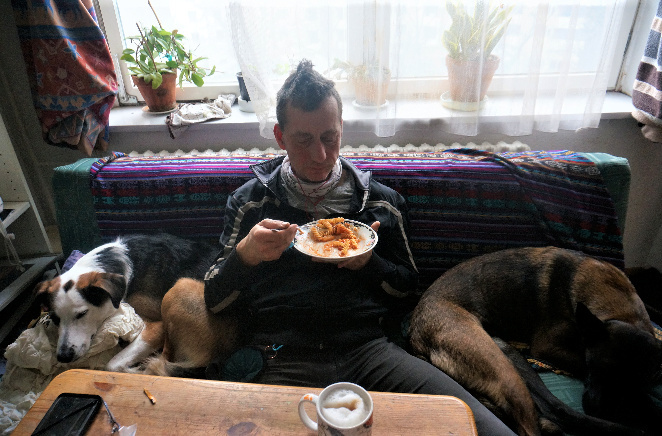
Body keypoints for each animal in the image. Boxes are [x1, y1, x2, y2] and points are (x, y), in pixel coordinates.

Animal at [410, 247, 662, 436]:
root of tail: (415, 336)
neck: (621, 309)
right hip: (502, 369)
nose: (594, 407)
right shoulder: (548, 347)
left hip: (508, 353)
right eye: (593, 367)